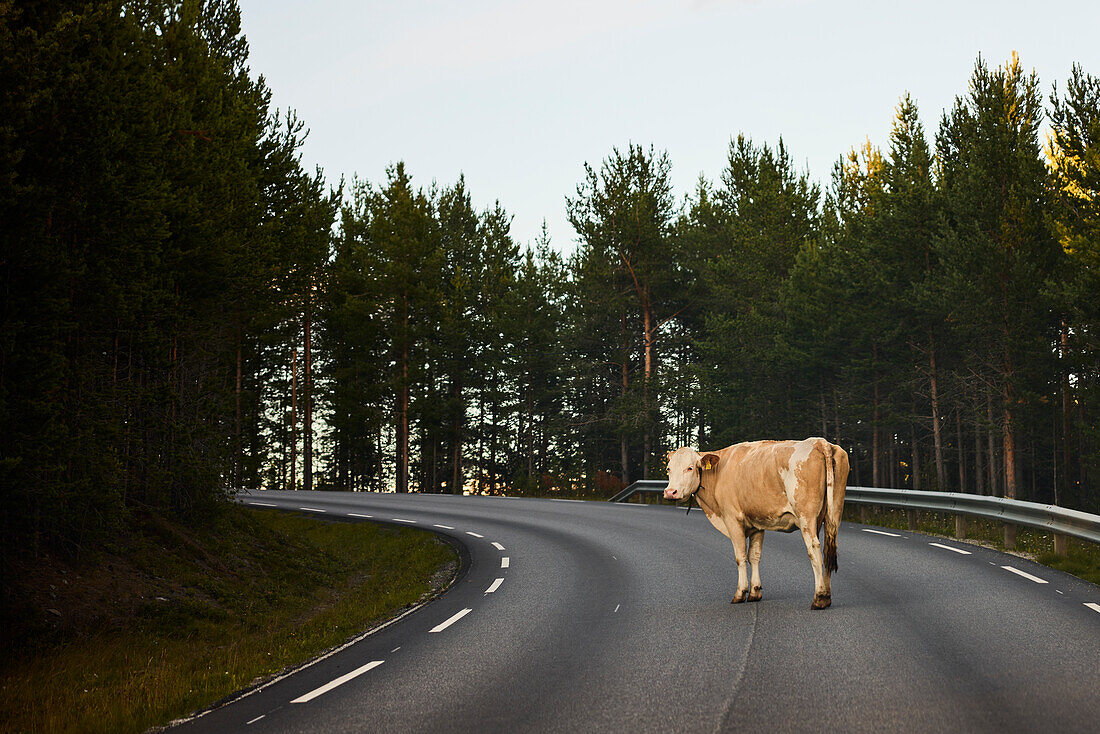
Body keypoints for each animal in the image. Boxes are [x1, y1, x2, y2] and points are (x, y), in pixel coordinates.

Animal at [660, 440, 849, 611]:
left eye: (690, 468)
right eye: (668, 469)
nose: (670, 492)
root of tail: (820, 442)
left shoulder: (732, 518)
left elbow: (740, 556)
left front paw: (740, 593)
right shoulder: (757, 523)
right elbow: (755, 556)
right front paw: (755, 592)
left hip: (806, 517)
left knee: (814, 550)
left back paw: (819, 598)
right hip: (833, 514)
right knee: (828, 551)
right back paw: (827, 597)